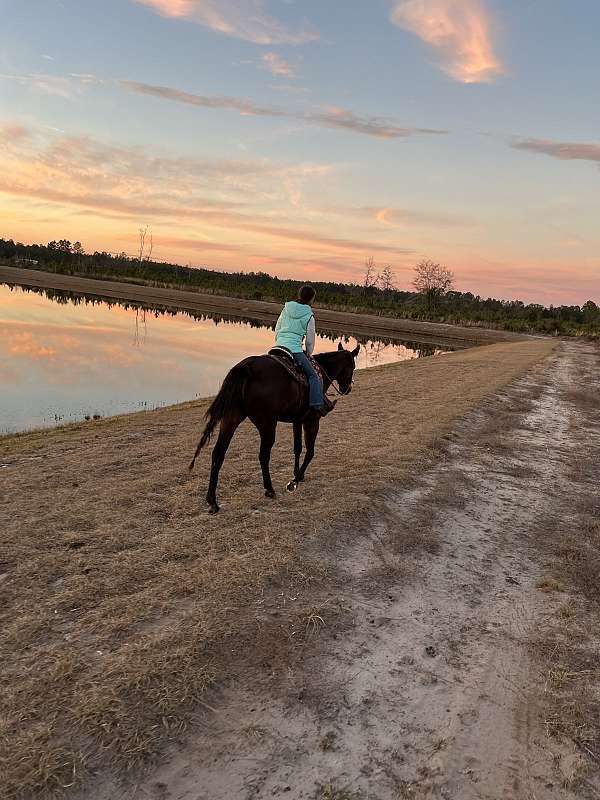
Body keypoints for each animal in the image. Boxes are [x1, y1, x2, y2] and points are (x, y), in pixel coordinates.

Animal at [190, 344, 358, 512]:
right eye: (352, 366)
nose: (348, 388)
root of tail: (245, 367)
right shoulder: (312, 421)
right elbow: (310, 452)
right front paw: (295, 480)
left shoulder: (297, 420)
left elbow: (297, 448)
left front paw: (297, 474)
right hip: (267, 425)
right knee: (263, 455)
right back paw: (269, 489)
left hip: (230, 419)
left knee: (218, 453)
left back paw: (212, 500)